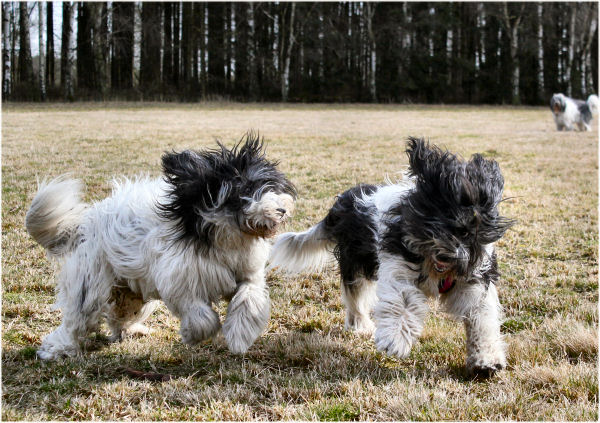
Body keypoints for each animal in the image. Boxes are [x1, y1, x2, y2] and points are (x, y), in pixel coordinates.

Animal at [27, 134, 296, 360]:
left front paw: (239, 336)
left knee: (120, 313)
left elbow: (248, 299)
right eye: (245, 190)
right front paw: (193, 334)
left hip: (128, 289)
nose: (282, 210)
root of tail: (85, 225)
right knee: (77, 319)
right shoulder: (181, 282)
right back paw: (57, 348)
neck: (224, 237)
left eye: (269, 185)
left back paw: (133, 329)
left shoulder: (247, 273)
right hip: (91, 282)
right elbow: (200, 315)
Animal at [270, 139, 512, 378]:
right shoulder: (399, 266)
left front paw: (486, 360)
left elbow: (481, 317)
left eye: (468, 230)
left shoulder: (474, 280)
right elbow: (403, 301)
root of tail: (341, 204)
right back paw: (360, 325)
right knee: (355, 297)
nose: (448, 255)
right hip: (356, 262)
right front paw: (395, 340)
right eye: (440, 216)